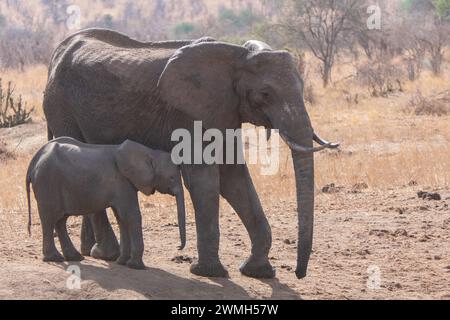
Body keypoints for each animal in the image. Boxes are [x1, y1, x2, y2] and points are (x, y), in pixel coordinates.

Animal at [26, 136, 185, 268]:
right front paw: (136, 266)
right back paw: (54, 258)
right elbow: (131, 216)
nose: (178, 247)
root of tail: (33, 162)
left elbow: (121, 218)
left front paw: (122, 262)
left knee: (61, 220)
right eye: (172, 178)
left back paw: (74, 257)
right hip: (47, 183)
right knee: (49, 219)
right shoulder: (122, 182)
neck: (149, 152)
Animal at [43, 30, 338, 280]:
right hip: (60, 106)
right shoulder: (190, 112)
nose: (299, 274)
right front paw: (209, 273)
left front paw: (258, 272)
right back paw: (107, 254)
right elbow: (203, 179)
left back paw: (93, 252)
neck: (237, 57)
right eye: (265, 94)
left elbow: (234, 178)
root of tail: (59, 51)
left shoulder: (223, 111)